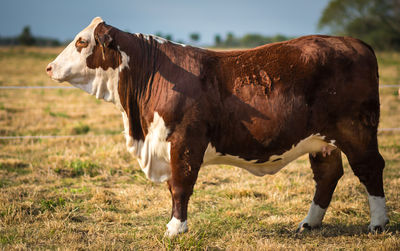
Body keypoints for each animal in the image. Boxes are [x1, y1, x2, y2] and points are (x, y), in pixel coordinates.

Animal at [46, 18, 388, 237]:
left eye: (82, 41)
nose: (49, 67)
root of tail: (354, 42)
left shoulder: (184, 141)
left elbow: (181, 185)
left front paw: (175, 229)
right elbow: (173, 186)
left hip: (356, 129)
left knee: (370, 167)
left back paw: (378, 224)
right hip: (321, 140)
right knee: (328, 175)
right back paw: (309, 224)